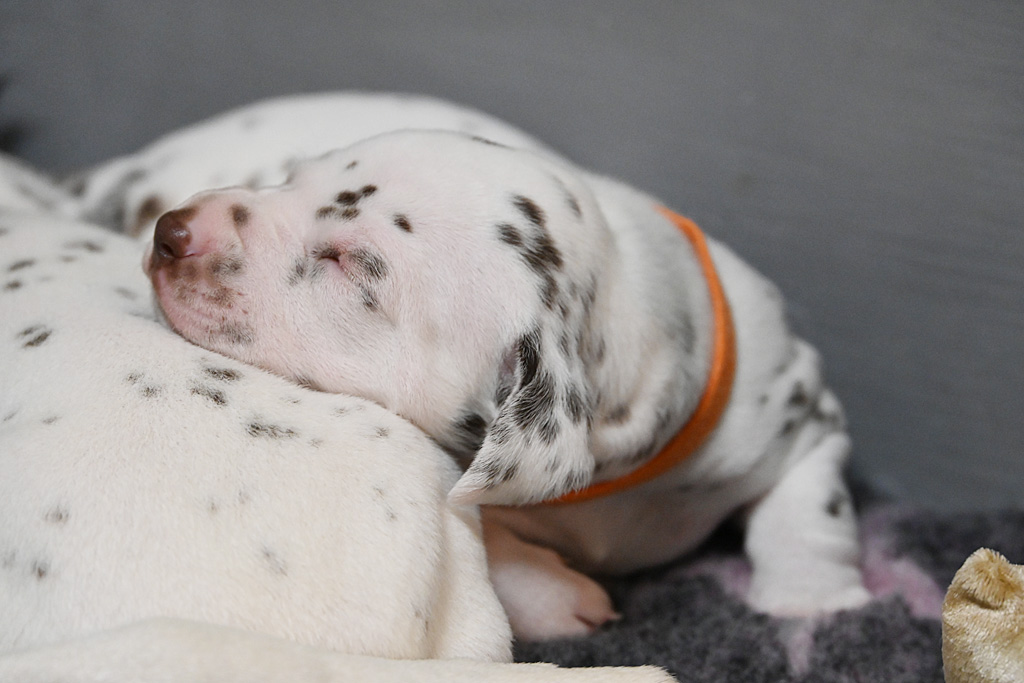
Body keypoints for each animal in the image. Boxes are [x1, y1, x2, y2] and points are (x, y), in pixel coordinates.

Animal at [119, 97, 871, 640]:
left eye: (349, 264)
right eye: (289, 178)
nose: (170, 232)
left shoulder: (801, 411)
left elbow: (810, 503)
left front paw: (814, 599)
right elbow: (483, 544)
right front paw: (559, 597)